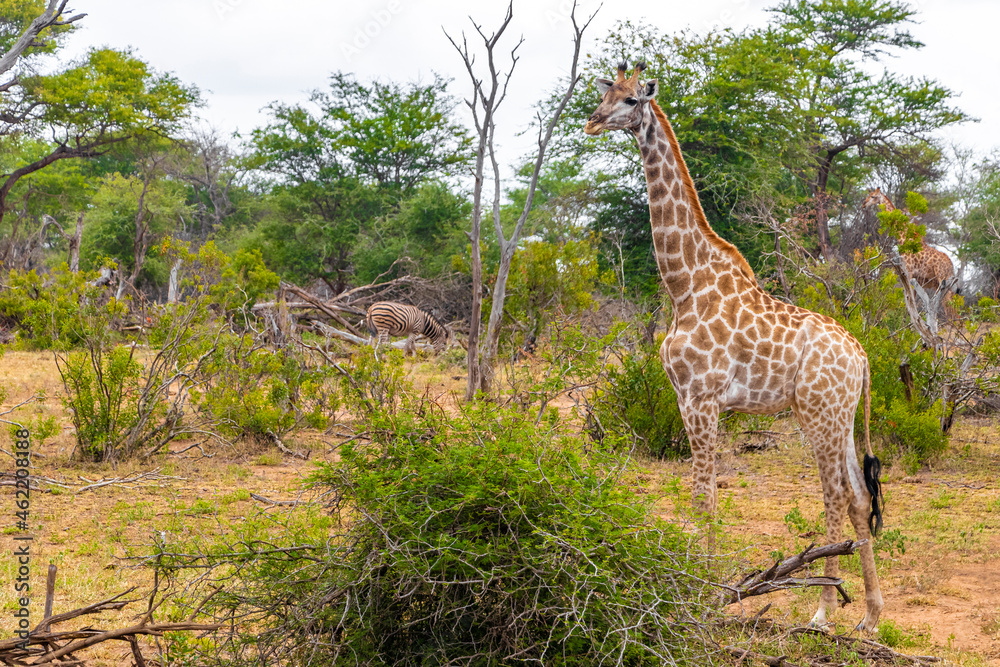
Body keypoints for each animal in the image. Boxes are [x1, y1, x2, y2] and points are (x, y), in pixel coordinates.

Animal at [585, 62, 885, 631]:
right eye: (607, 94)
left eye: (633, 100)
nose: (591, 122)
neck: (684, 284)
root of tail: (861, 356)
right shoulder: (691, 399)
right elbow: (705, 495)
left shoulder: (701, 398)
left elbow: (704, 496)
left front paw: (703, 591)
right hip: (840, 414)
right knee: (860, 496)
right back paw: (872, 616)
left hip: (819, 413)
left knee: (835, 493)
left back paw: (821, 612)